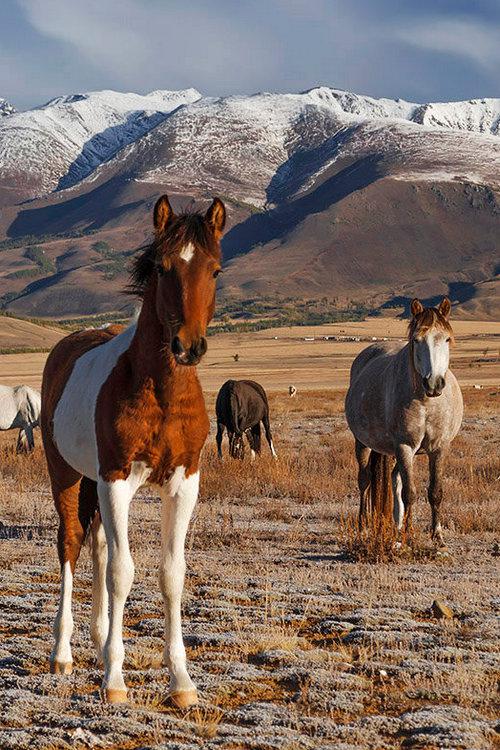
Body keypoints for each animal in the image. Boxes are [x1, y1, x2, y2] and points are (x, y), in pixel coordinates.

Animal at [41, 195, 225, 712]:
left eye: (215, 269)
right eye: (163, 267)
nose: (188, 346)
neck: (161, 391)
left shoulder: (185, 481)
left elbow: (171, 574)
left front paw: (181, 681)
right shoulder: (117, 478)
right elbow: (123, 573)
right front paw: (115, 679)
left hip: (94, 483)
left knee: (98, 545)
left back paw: (99, 637)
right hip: (66, 475)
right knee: (71, 544)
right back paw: (63, 653)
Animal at [346, 300, 462, 548]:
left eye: (447, 339)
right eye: (416, 340)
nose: (434, 383)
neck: (427, 402)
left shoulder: (439, 448)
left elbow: (435, 491)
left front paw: (437, 535)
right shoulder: (405, 447)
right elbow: (410, 492)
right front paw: (409, 535)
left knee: (393, 478)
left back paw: (396, 524)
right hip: (363, 443)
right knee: (365, 480)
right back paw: (363, 525)